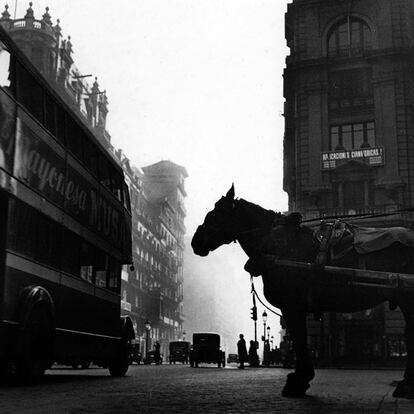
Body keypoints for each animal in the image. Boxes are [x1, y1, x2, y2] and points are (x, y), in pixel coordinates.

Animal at [192, 184, 414, 398]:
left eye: (216, 213)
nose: (196, 241)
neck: (281, 246)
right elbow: (301, 341)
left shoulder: (292, 307)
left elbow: (299, 342)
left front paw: (298, 381)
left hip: (406, 298)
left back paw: (406, 385)